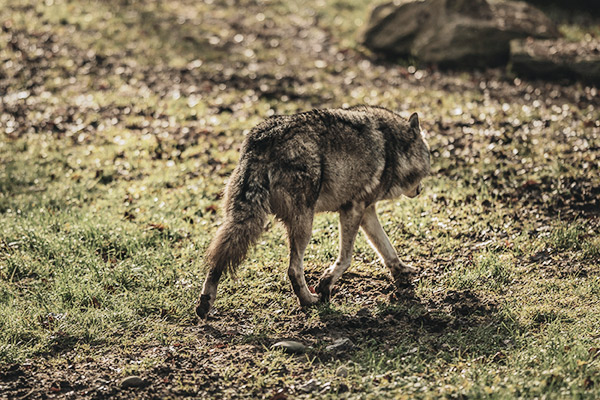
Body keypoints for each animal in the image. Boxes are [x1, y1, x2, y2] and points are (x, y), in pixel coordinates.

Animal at [197, 105, 432, 318]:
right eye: (428, 161)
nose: (420, 190)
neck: (393, 148)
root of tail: (264, 140)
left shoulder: (366, 212)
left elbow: (387, 248)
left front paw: (402, 269)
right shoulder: (353, 209)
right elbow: (346, 259)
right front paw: (325, 284)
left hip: (238, 219)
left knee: (217, 258)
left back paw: (204, 304)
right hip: (304, 225)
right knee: (293, 269)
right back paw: (309, 301)